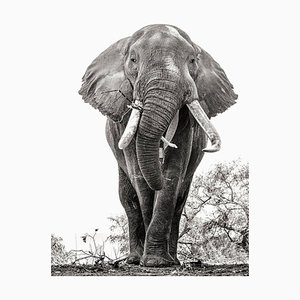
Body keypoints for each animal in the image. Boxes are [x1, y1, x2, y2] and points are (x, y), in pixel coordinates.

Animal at [78, 24, 238, 268]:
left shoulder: (186, 123)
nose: (161, 152)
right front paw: (150, 261)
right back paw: (134, 259)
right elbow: (139, 176)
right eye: (133, 59)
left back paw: (173, 260)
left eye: (192, 60)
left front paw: (157, 262)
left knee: (180, 201)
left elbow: (173, 173)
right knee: (128, 199)